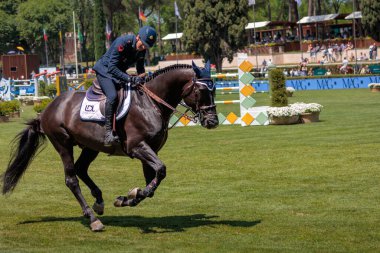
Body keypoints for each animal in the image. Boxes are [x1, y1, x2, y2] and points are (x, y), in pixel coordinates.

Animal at [0, 61, 217, 231]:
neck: (151, 103)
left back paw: (99, 202)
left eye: (214, 90)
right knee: (71, 179)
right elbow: (160, 171)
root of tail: (47, 109)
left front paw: (127, 198)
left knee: (81, 169)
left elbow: (152, 184)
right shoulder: (137, 147)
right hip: (63, 143)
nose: (212, 122)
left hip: (90, 146)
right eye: (200, 91)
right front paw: (129, 196)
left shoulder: (150, 150)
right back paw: (93, 219)